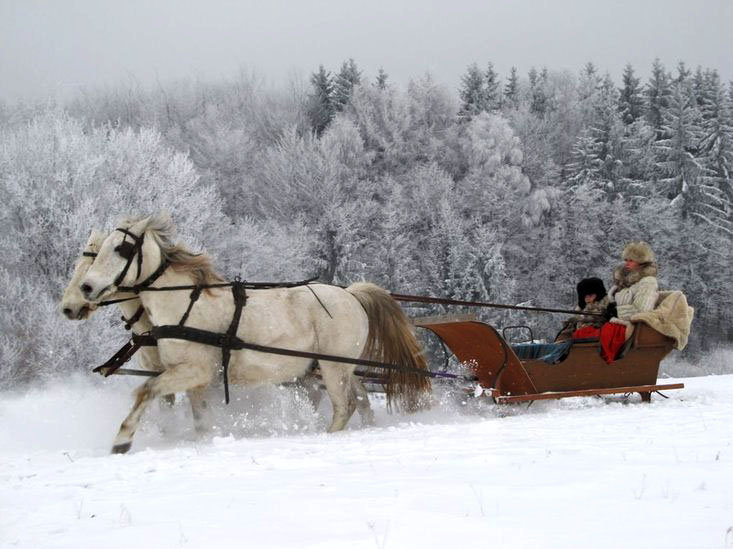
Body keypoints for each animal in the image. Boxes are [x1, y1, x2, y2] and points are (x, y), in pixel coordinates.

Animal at [78, 212, 428, 452]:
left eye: (122, 249)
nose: (86, 287)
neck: (185, 302)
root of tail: (352, 294)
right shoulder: (196, 378)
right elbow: (199, 417)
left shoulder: (194, 370)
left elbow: (145, 390)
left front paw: (122, 440)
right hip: (340, 367)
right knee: (361, 397)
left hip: (332, 366)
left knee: (345, 405)